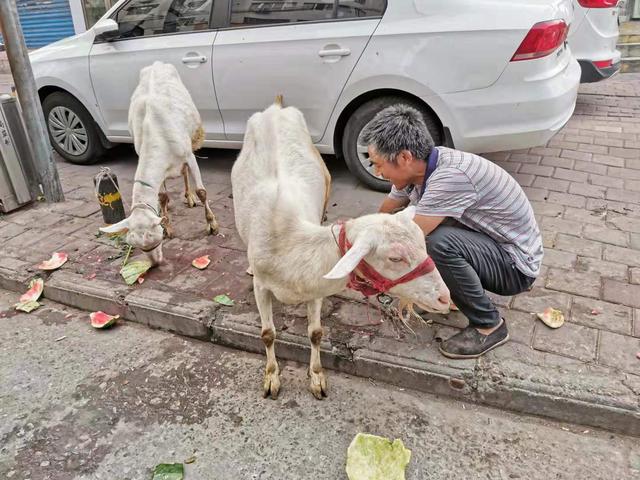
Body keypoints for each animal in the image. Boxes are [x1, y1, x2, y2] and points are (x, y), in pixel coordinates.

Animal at [100, 61, 219, 264]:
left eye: (155, 238)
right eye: (137, 245)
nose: (155, 263)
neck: (156, 134)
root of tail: (157, 64)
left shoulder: (189, 155)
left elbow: (202, 191)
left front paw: (212, 225)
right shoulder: (160, 168)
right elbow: (162, 196)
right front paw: (169, 226)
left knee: (186, 171)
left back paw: (190, 198)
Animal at [231, 98, 450, 402]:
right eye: (395, 257)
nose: (445, 298)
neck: (289, 242)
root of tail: (276, 107)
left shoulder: (313, 288)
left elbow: (315, 333)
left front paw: (317, 378)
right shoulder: (262, 287)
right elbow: (267, 334)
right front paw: (272, 378)